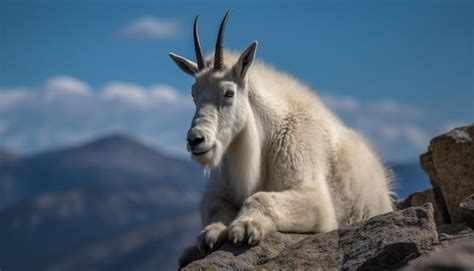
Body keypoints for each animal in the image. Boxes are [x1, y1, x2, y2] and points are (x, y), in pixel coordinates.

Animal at [168, 10, 394, 266]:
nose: (195, 140)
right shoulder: (218, 192)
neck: (264, 138)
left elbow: (259, 197)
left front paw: (246, 226)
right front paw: (211, 235)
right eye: (193, 94)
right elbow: (216, 210)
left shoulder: (314, 196)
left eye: (229, 93)